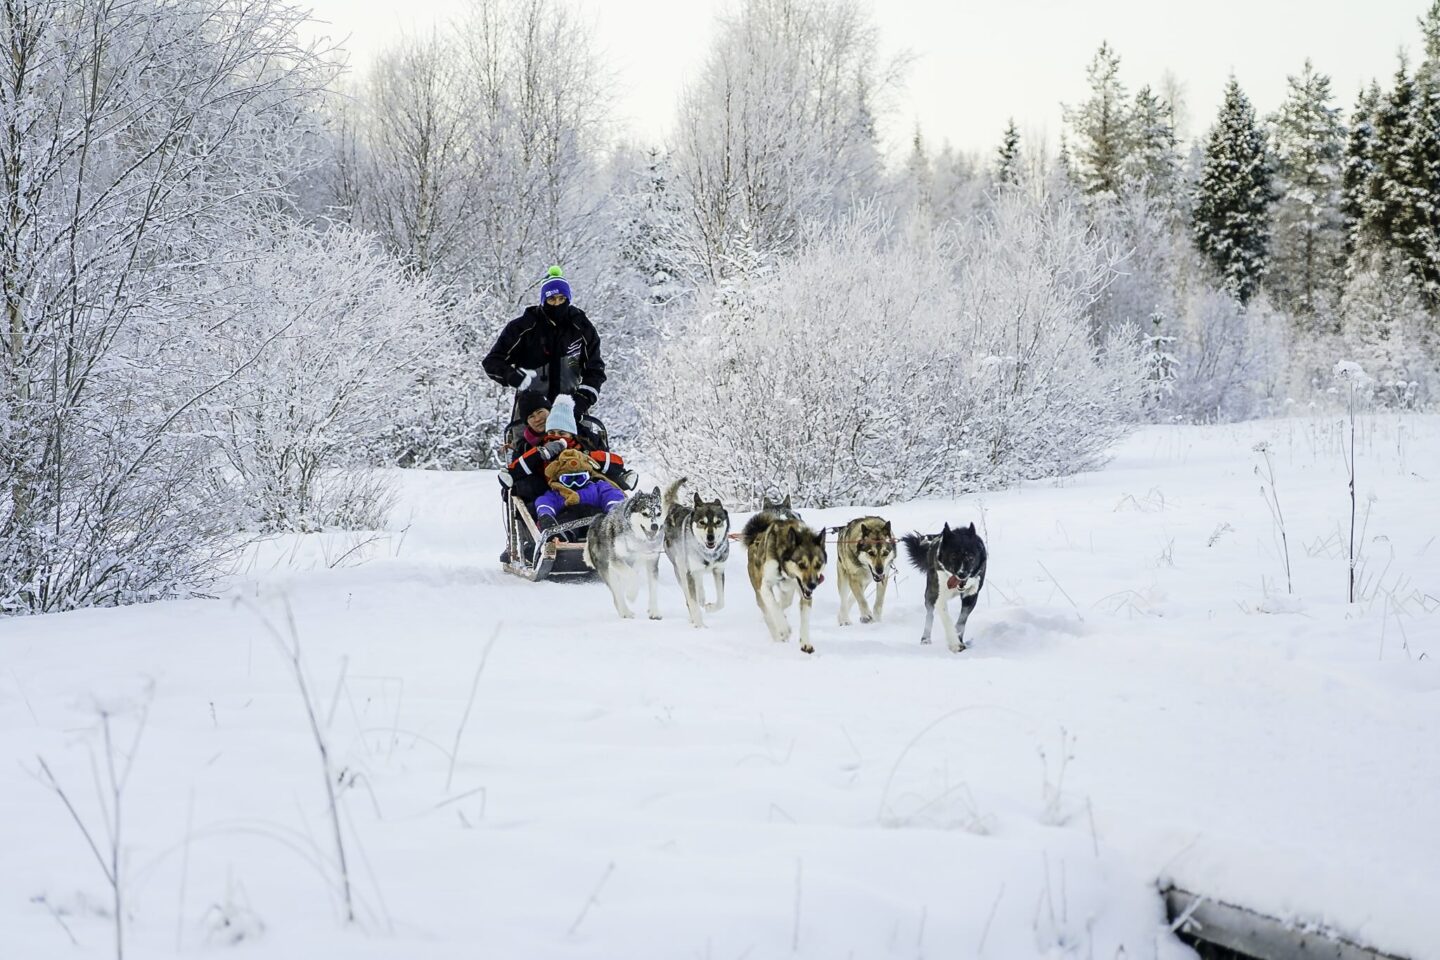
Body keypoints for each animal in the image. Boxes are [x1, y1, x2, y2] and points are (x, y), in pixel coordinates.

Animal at [584, 486, 666, 620]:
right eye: (644, 513)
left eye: (658, 514)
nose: (655, 526)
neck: (639, 540)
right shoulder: (616, 560)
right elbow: (632, 576)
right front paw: (631, 595)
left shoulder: (651, 562)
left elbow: (653, 587)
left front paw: (654, 611)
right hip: (608, 570)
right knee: (617, 594)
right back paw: (625, 611)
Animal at [663, 478, 731, 628]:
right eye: (702, 522)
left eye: (718, 522)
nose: (710, 537)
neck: (709, 554)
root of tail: (675, 507)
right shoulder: (689, 573)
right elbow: (692, 603)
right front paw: (700, 626)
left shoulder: (719, 570)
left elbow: (722, 602)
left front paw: (710, 607)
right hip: (681, 569)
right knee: (689, 597)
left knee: (699, 585)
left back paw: (702, 597)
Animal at [743, 510, 827, 654]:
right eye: (801, 564)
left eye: (818, 565)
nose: (812, 585)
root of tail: (756, 537)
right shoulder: (764, 586)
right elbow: (774, 607)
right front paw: (784, 629)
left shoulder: (804, 593)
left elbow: (804, 617)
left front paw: (805, 642)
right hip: (759, 590)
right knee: (768, 613)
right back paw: (778, 634)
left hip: (787, 592)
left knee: (784, 603)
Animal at [901, 523, 987, 652]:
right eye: (953, 556)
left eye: (971, 557)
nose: (962, 574)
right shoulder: (939, 597)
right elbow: (947, 619)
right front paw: (955, 644)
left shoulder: (971, 596)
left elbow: (962, 621)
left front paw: (959, 638)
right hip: (929, 594)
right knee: (929, 615)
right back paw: (925, 639)